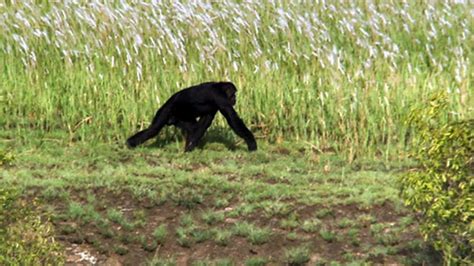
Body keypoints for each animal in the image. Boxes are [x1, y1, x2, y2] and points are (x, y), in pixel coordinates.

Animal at [126, 81, 258, 152]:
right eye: (233, 94)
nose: (235, 98)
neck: (219, 87)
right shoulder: (219, 97)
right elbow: (232, 118)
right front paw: (251, 143)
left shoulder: (214, 107)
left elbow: (205, 122)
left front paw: (191, 147)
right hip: (166, 109)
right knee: (153, 129)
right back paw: (130, 143)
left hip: (180, 117)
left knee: (192, 127)